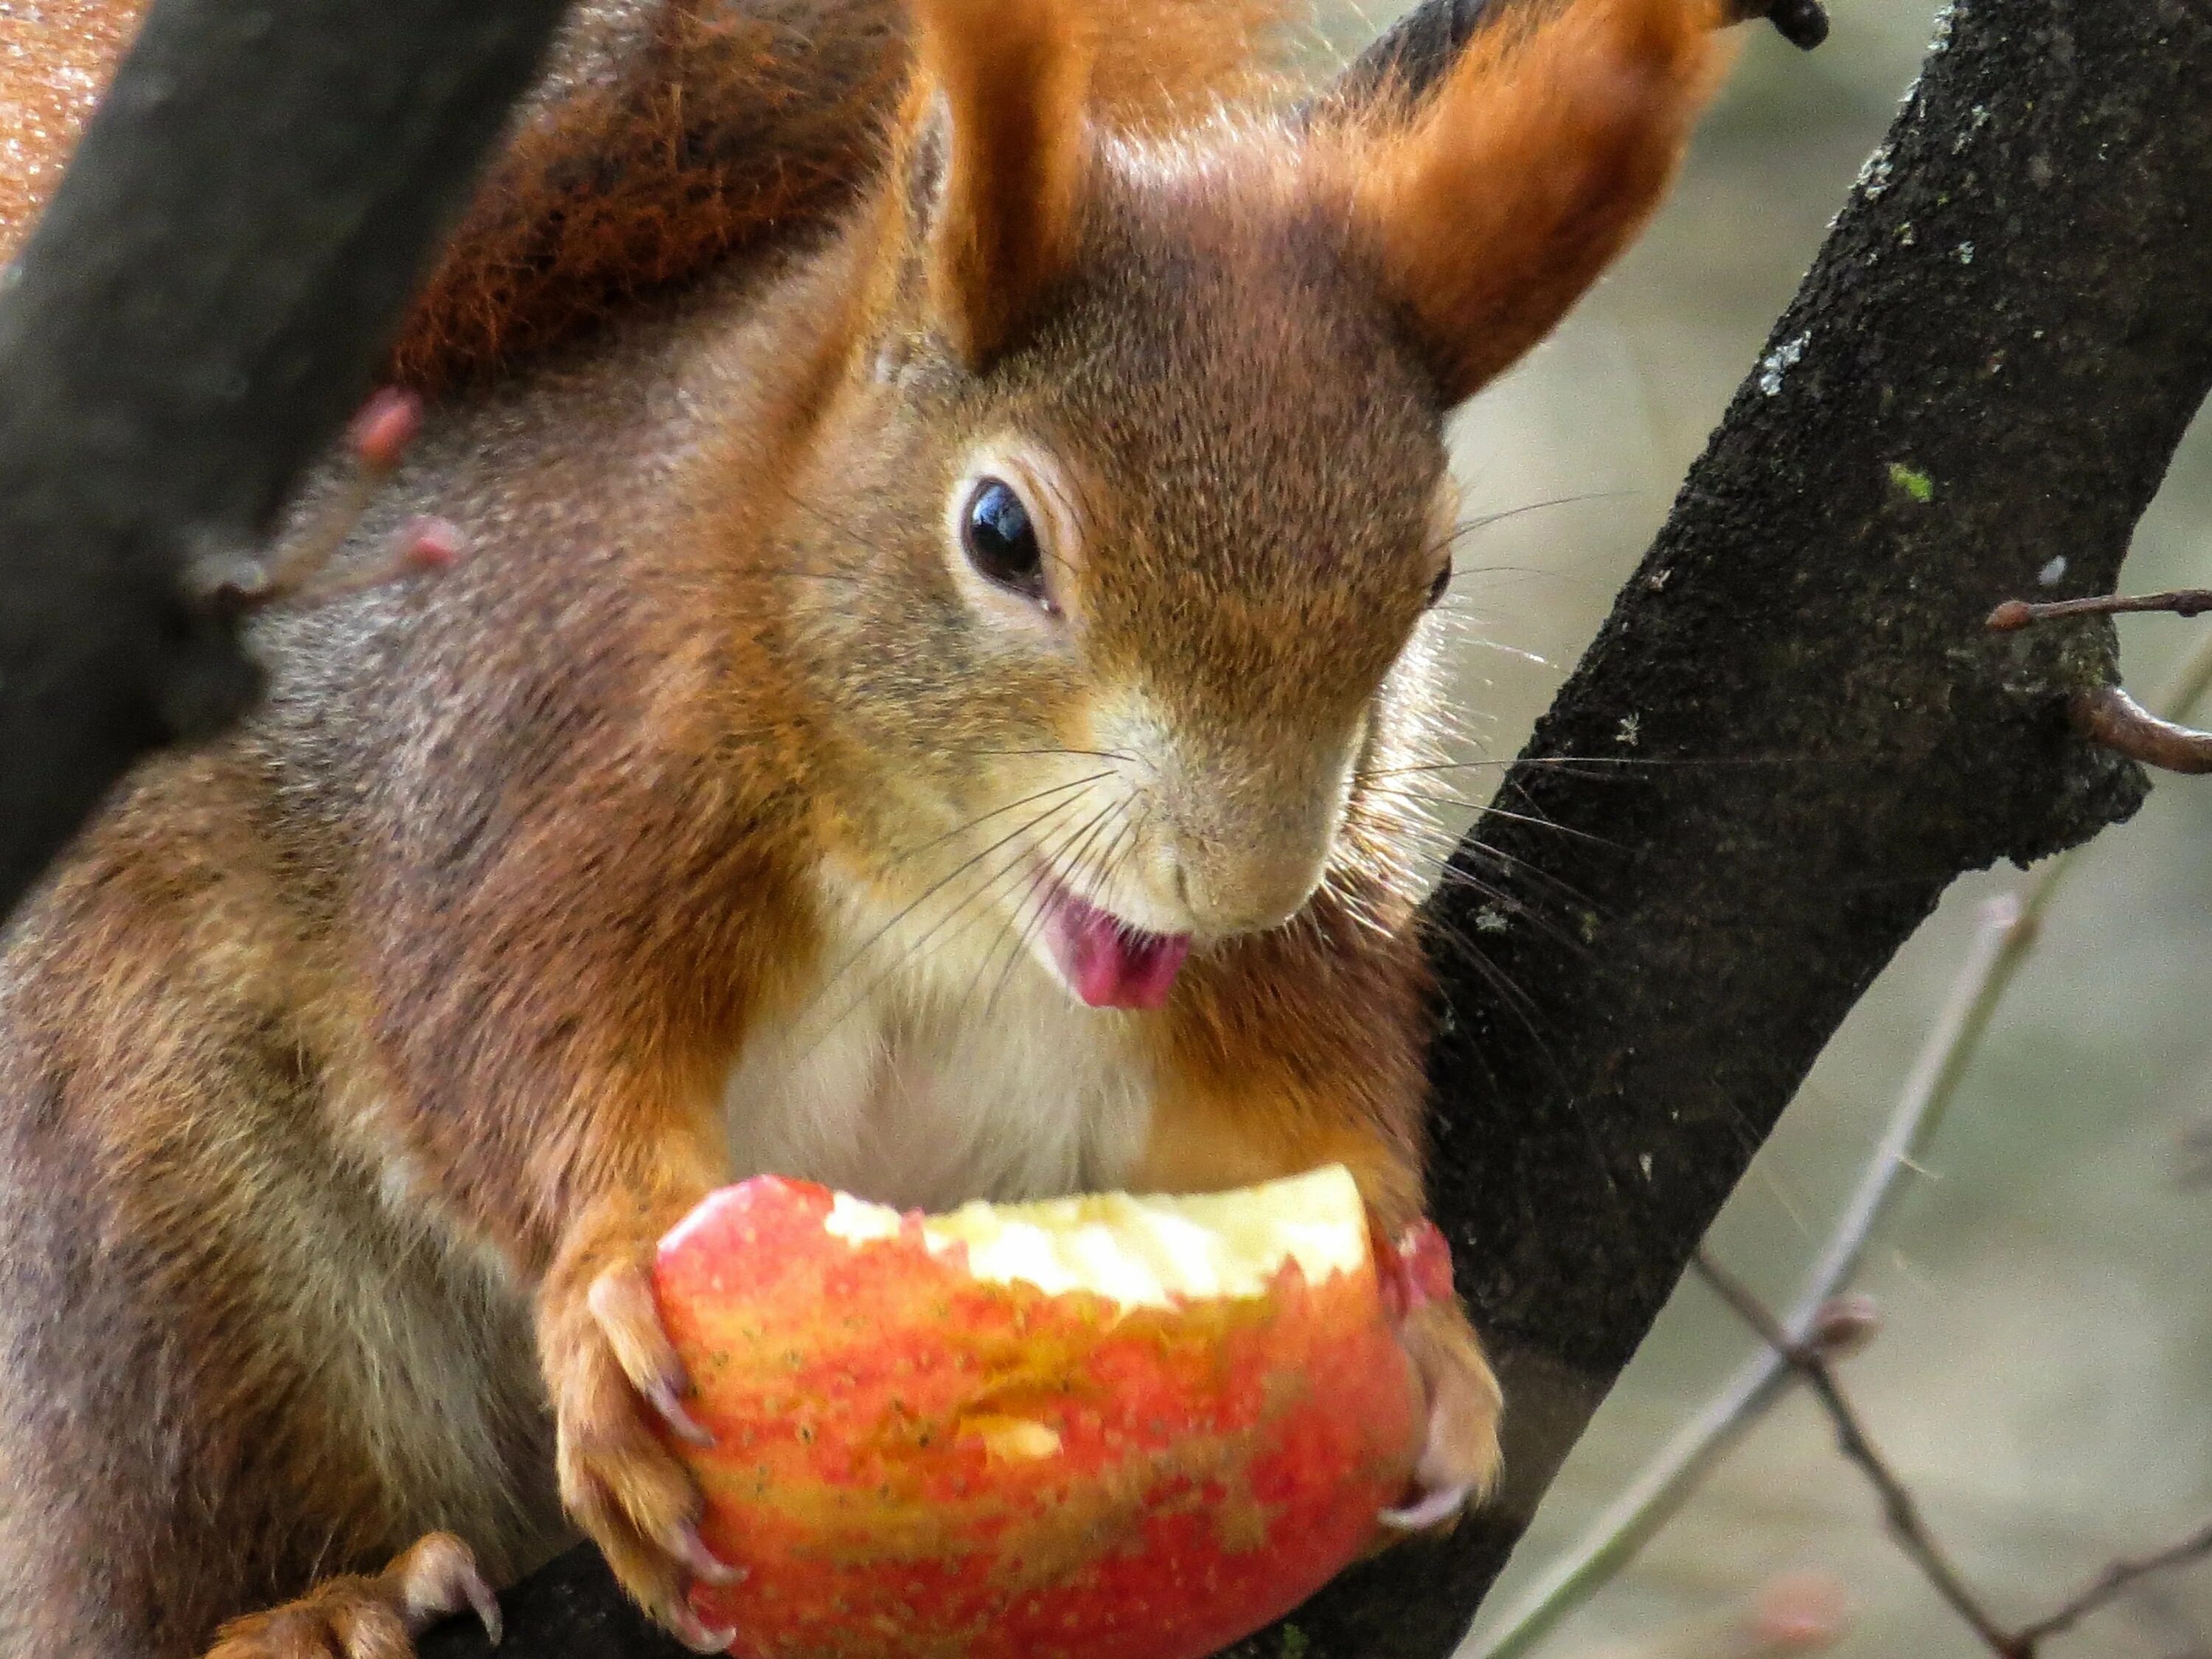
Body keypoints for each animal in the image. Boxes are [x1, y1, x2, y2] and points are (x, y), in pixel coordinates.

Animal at [0, 0, 1761, 1655]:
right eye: (999, 533)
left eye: (1435, 574)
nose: (1243, 880)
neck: (953, 901)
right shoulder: (547, 788)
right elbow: (507, 1048)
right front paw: (610, 1281)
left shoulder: (1303, 952)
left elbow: (1313, 1114)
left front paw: (1426, 1321)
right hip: (184, 1255)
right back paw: (322, 1602)